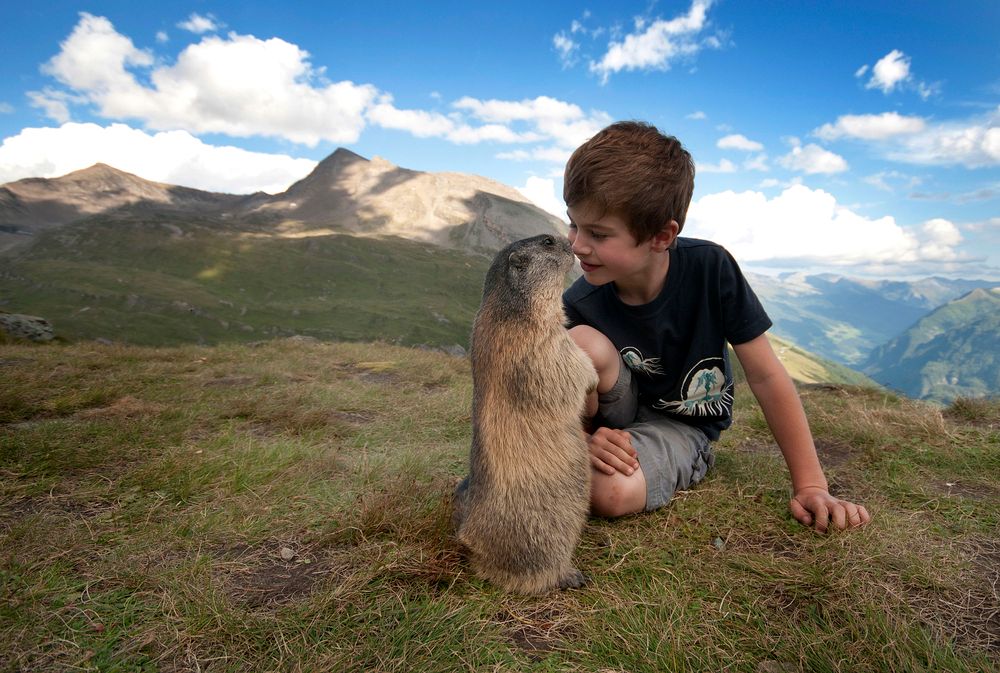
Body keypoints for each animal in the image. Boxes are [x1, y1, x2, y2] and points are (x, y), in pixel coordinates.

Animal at [453, 234, 598, 594]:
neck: (510, 306)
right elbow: (569, 368)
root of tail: (471, 544)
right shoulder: (541, 340)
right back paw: (568, 575)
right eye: (548, 241)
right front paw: (593, 375)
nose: (572, 240)